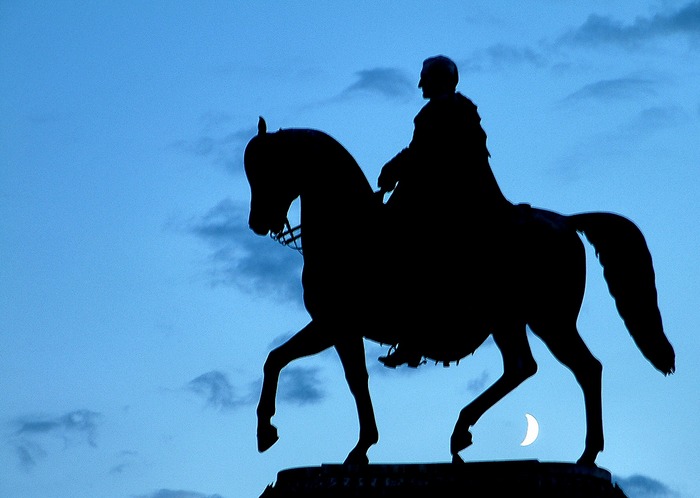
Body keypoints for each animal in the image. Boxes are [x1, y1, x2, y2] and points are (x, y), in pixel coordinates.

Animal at [243, 116, 676, 466]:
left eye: (268, 168)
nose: (257, 223)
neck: (350, 229)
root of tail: (567, 222)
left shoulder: (334, 324)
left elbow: (282, 360)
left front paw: (269, 432)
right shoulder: (340, 329)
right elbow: (340, 375)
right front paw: (359, 446)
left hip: (548, 321)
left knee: (580, 369)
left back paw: (578, 453)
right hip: (514, 322)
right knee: (530, 367)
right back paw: (471, 433)